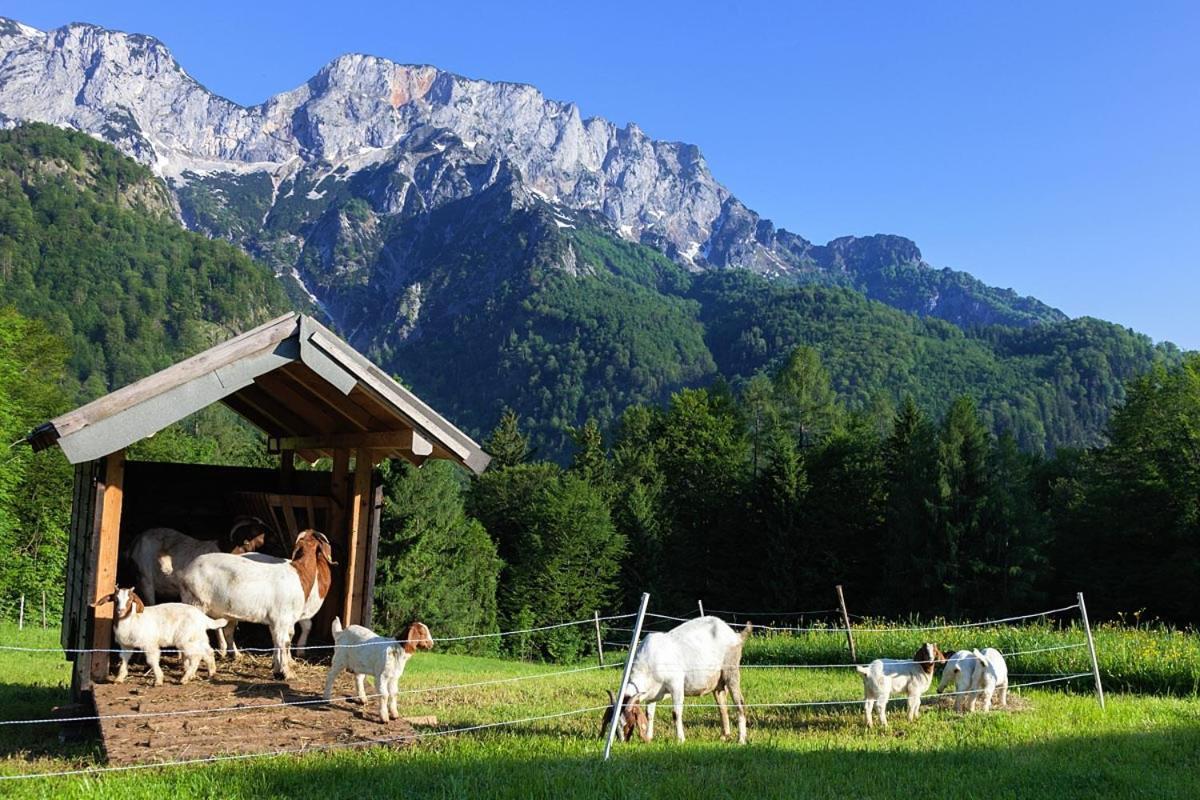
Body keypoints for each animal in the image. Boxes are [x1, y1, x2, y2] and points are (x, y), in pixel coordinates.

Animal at [90, 585, 225, 686]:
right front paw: (119, 678)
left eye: (130, 600)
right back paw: (211, 672)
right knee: (207, 652)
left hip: (186, 640)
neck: (132, 620)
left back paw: (185, 678)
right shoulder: (126, 645)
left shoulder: (149, 644)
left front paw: (158, 680)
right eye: (116, 600)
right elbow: (124, 659)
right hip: (198, 638)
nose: (120, 611)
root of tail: (203, 618)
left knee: (196, 656)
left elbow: (152, 661)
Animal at [175, 527, 333, 681]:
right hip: (196, 603)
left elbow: (277, 642)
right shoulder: (282, 619)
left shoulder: (277, 622)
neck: (299, 573)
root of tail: (186, 572)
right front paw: (288, 673)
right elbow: (284, 643)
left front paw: (277, 669)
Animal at [600, 618, 748, 743]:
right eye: (613, 725)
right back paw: (724, 736)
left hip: (731, 670)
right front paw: (649, 737)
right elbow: (649, 714)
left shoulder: (676, 685)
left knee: (739, 702)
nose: (622, 741)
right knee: (722, 706)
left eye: (629, 722)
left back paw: (741, 739)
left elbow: (676, 713)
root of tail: (733, 634)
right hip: (718, 683)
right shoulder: (651, 693)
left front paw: (680, 739)